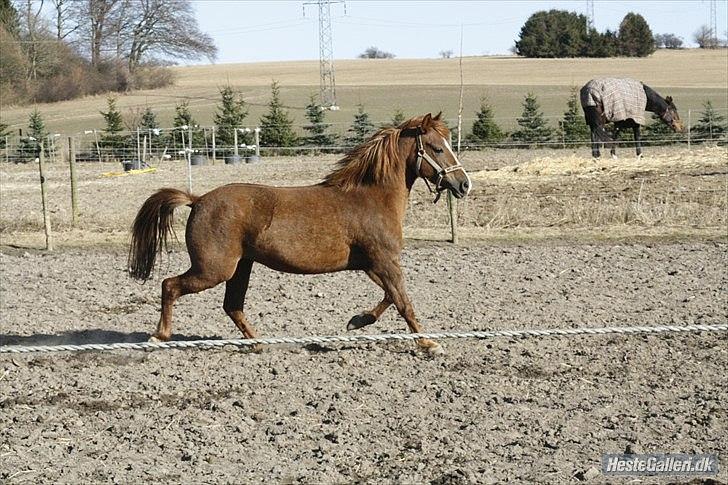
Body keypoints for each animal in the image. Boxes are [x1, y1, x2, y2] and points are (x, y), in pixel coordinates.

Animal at [129, 114, 472, 356]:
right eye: (437, 148)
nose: (464, 184)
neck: (370, 197)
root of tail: (198, 199)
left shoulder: (374, 265)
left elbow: (391, 297)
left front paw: (357, 320)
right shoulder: (384, 262)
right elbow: (403, 302)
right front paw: (429, 344)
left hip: (241, 267)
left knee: (232, 306)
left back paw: (257, 343)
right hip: (214, 269)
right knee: (170, 286)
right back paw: (158, 337)